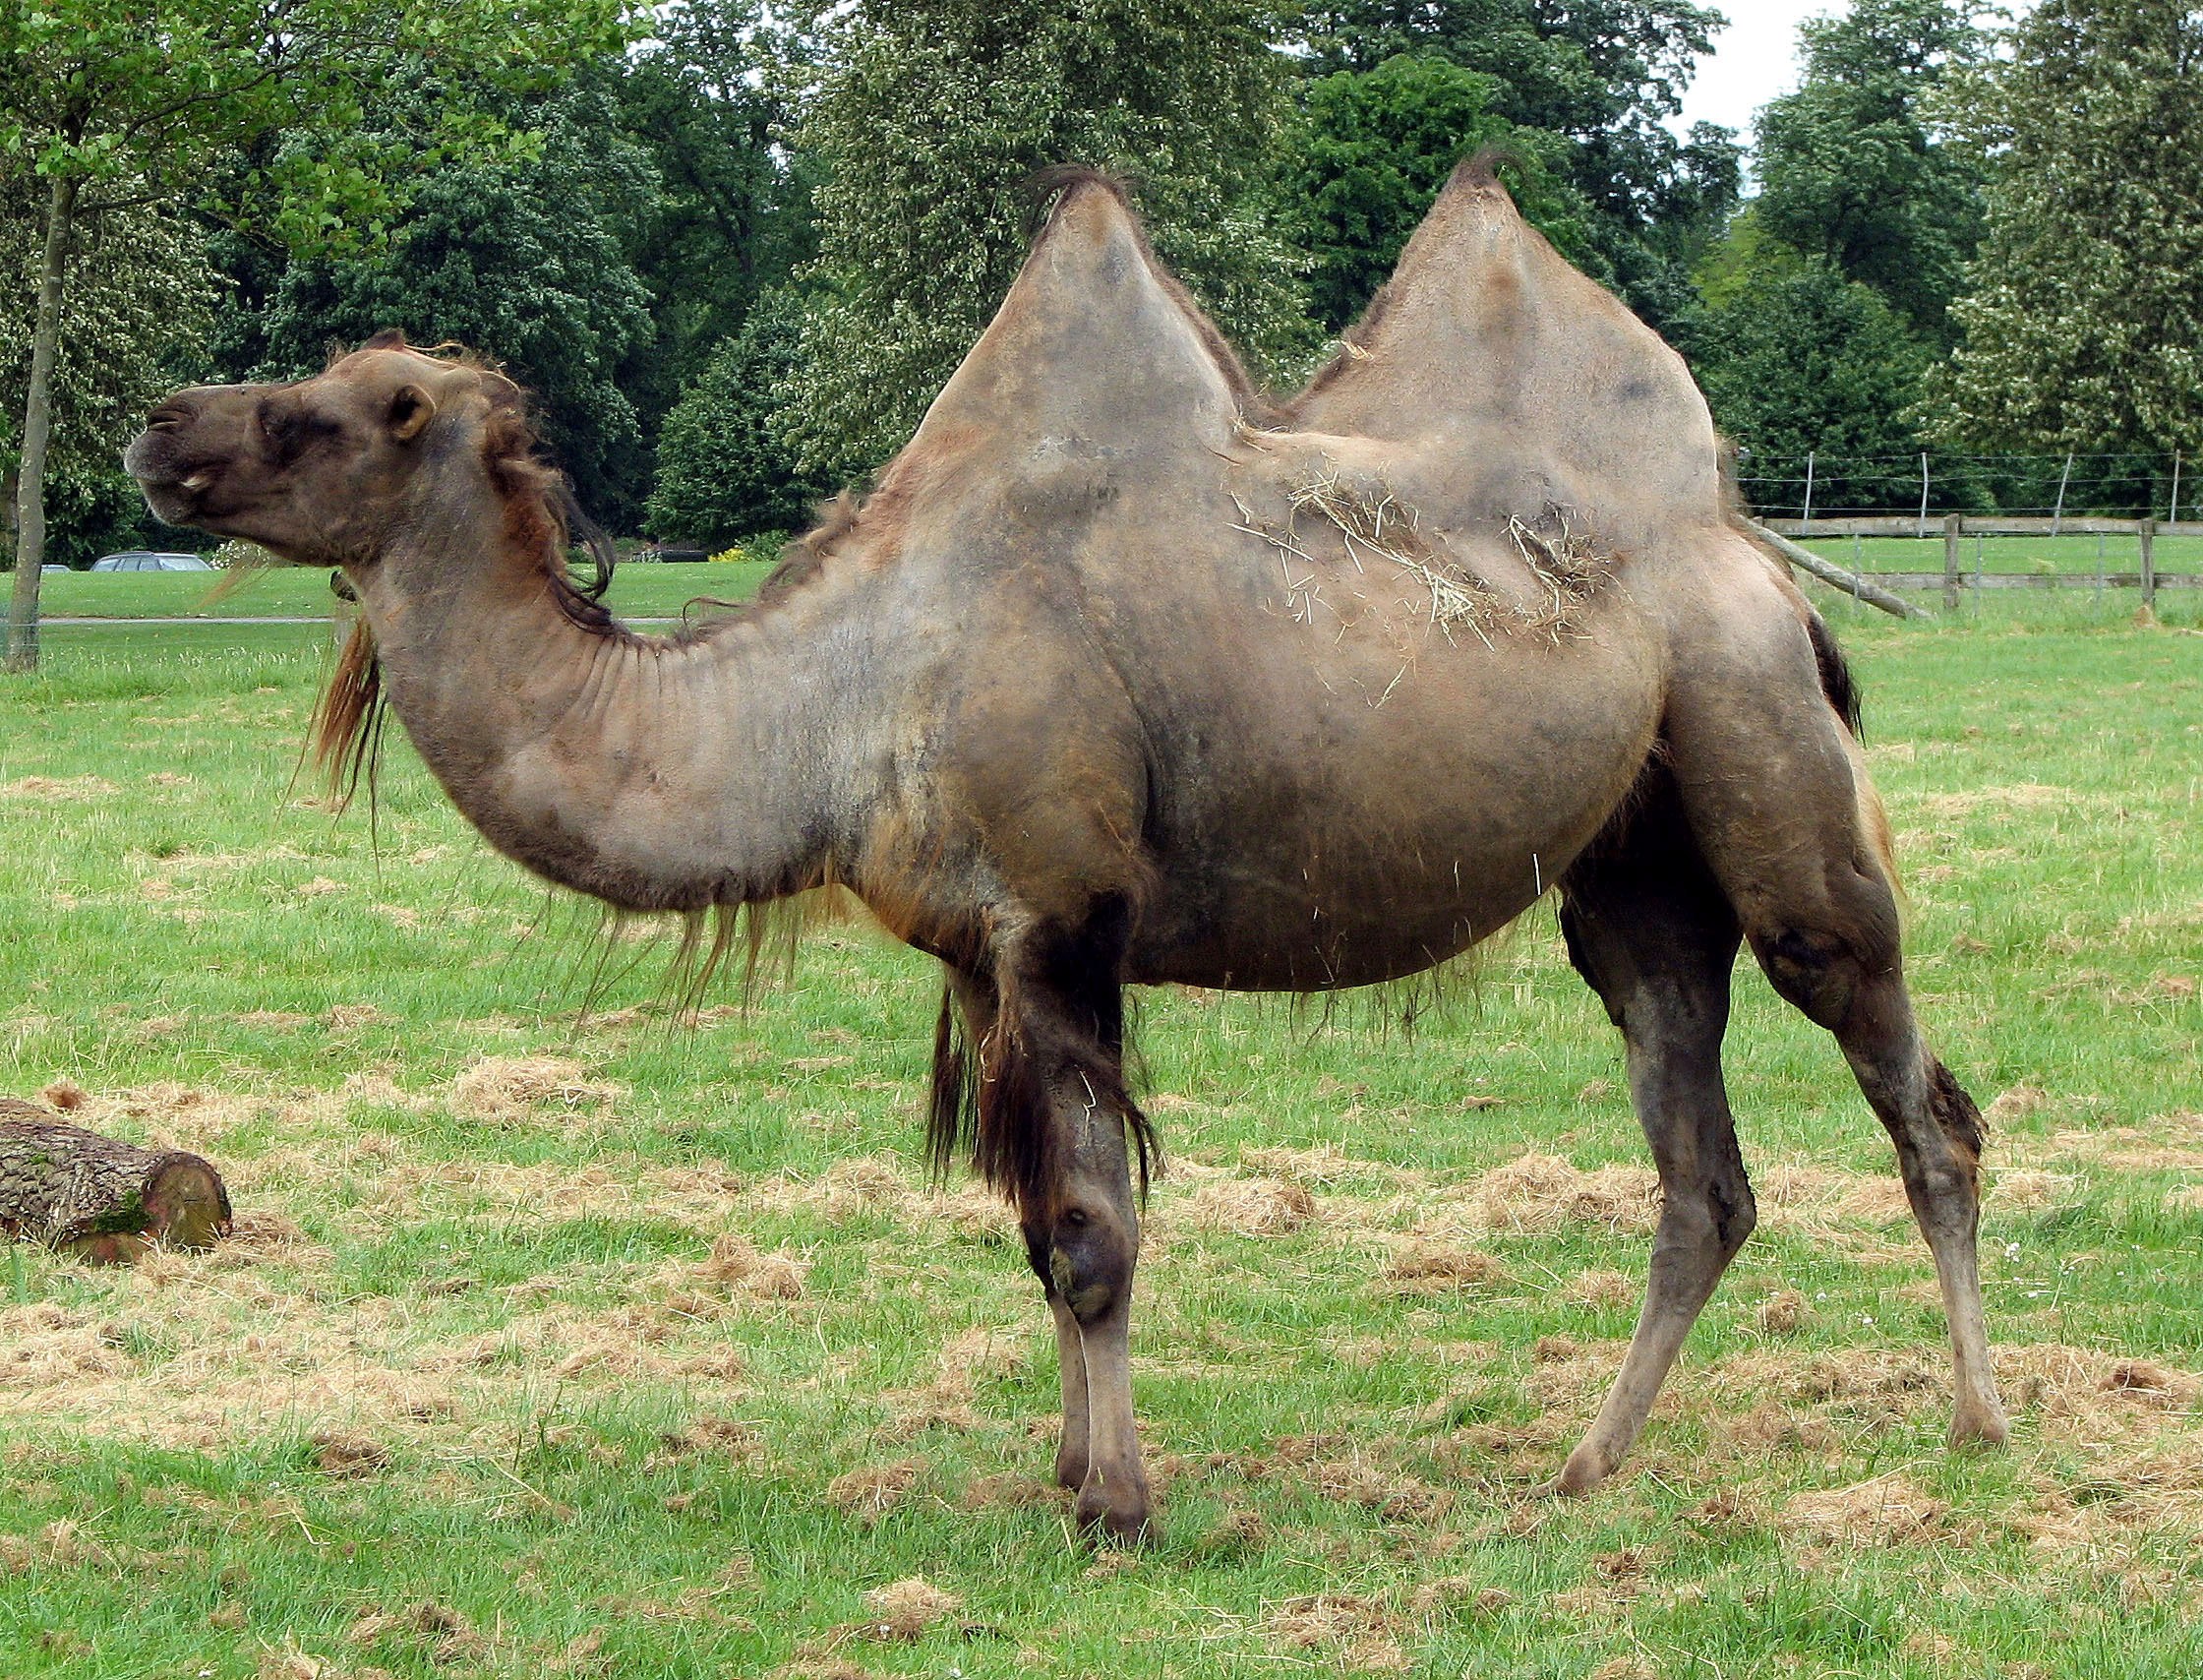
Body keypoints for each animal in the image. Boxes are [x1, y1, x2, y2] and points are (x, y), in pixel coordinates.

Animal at [126, 159, 2007, 1544]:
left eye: (359, 408)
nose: (161, 426)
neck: (832, 699)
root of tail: (1765, 565)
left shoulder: (1063, 919)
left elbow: (1095, 1235)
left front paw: (1118, 1509)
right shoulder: (980, 951)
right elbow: (1035, 1231)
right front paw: (1070, 1471)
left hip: (1770, 766)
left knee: (1916, 1089)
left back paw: (1979, 1424)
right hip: (1633, 872)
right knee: (1703, 1165)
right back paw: (1583, 1465)